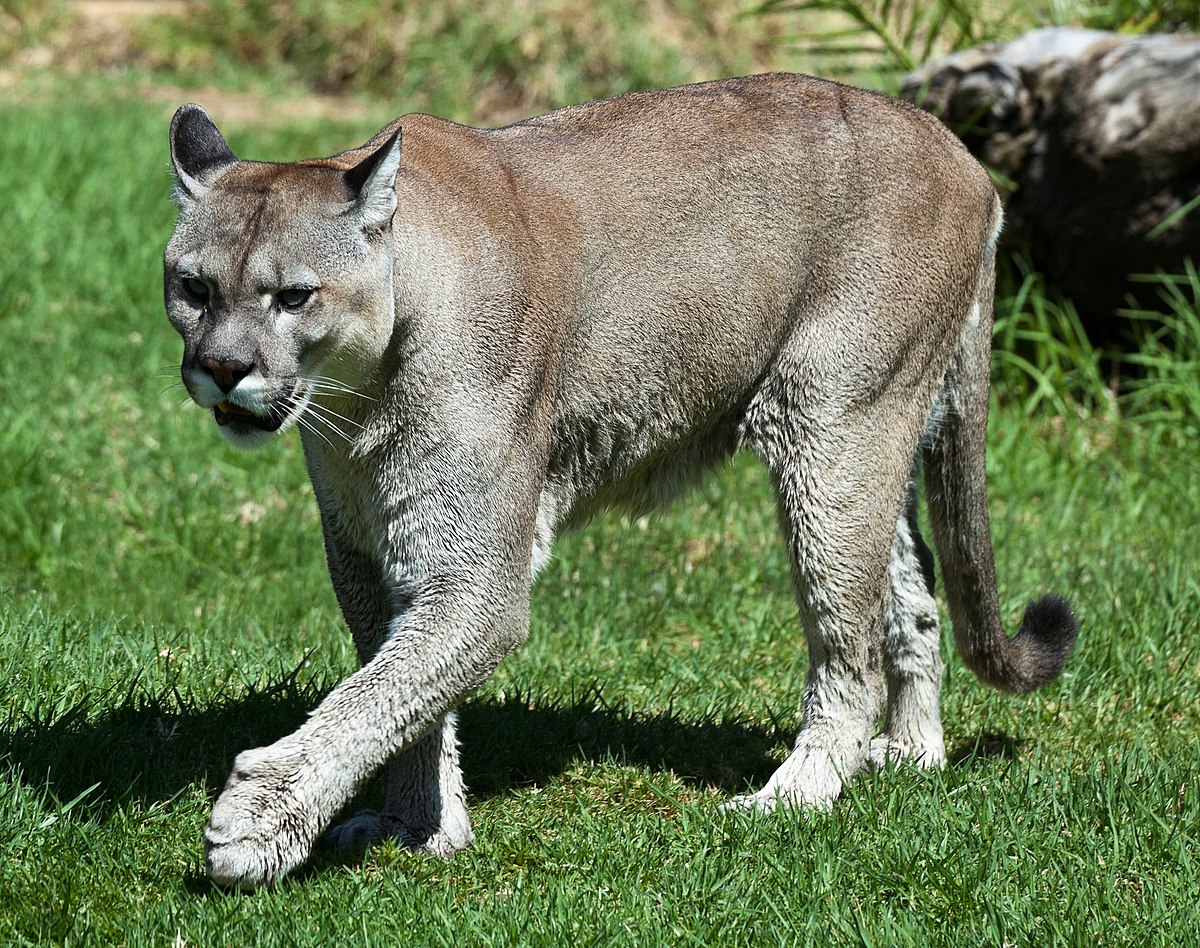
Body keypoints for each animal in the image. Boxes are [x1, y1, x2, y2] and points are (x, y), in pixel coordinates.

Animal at [162, 74, 1080, 892]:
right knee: (913, 598)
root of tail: (959, 151)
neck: (359, 399)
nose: (222, 368)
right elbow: (403, 693)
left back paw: (793, 797)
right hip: (865, 438)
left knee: (846, 654)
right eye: (194, 288)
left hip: (834, 428)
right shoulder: (367, 552)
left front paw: (259, 826)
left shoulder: (476, 576)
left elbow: (378, 694)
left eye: (293, 296)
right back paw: (914, 752)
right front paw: (417, 825)